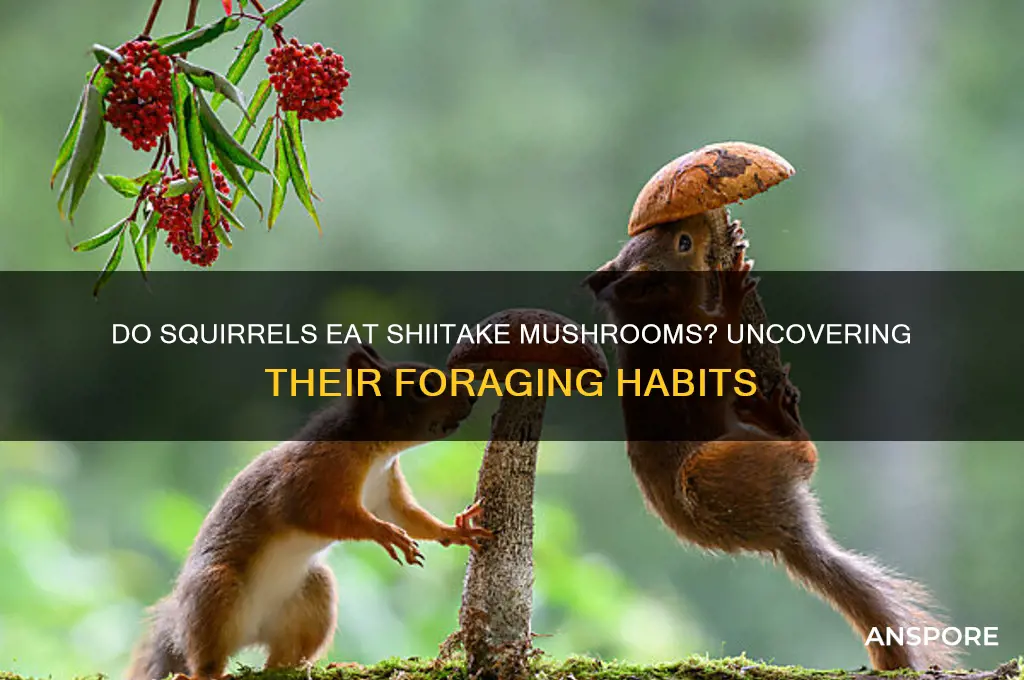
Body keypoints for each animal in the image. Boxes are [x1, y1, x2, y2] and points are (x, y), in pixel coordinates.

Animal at [127, 344, 493, 680]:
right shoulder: (311, 478)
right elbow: (325, 516)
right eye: (421, 387)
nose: (473, 397)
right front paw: (385, 534)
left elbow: (409, 516)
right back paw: (205, 673)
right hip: (215, 592)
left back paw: (324, 666)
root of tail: (251, 632)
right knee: (208, 655)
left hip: (313, 599)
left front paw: (454, 531)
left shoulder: (385, 492)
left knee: (283, 658)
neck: (377, 452)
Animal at [585, 216, 958, 671]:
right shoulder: (698, 349)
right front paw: (731, 289)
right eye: (684, 243)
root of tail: (780, 531)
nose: (694, 221)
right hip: (721, 465)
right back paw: (779, 419)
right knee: (805, 457)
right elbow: (724, 335)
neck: (650, 315)